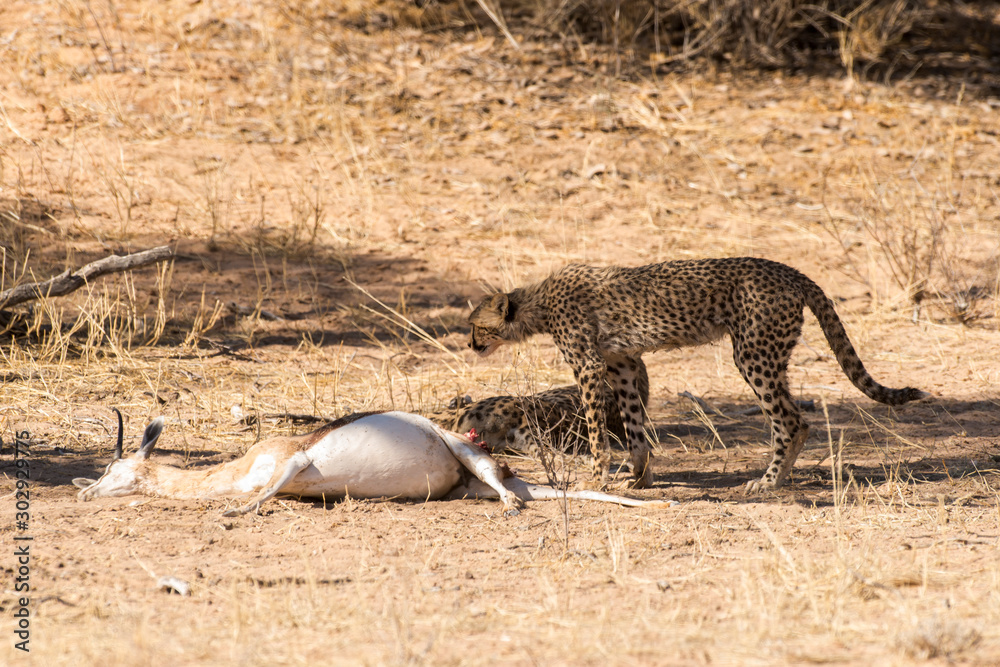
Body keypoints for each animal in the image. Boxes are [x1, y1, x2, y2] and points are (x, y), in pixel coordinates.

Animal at [467, 257, 928, 492]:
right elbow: (635, 426)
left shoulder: (590, 366)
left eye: (476, 326)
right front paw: (640, 477)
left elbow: (599, 432)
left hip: (753, 354)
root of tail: (788, 269)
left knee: (792, 421)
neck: (537, 303)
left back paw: (767, 483)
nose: (471, 345)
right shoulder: (623, 363)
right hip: (766, 354)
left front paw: (598, 478)